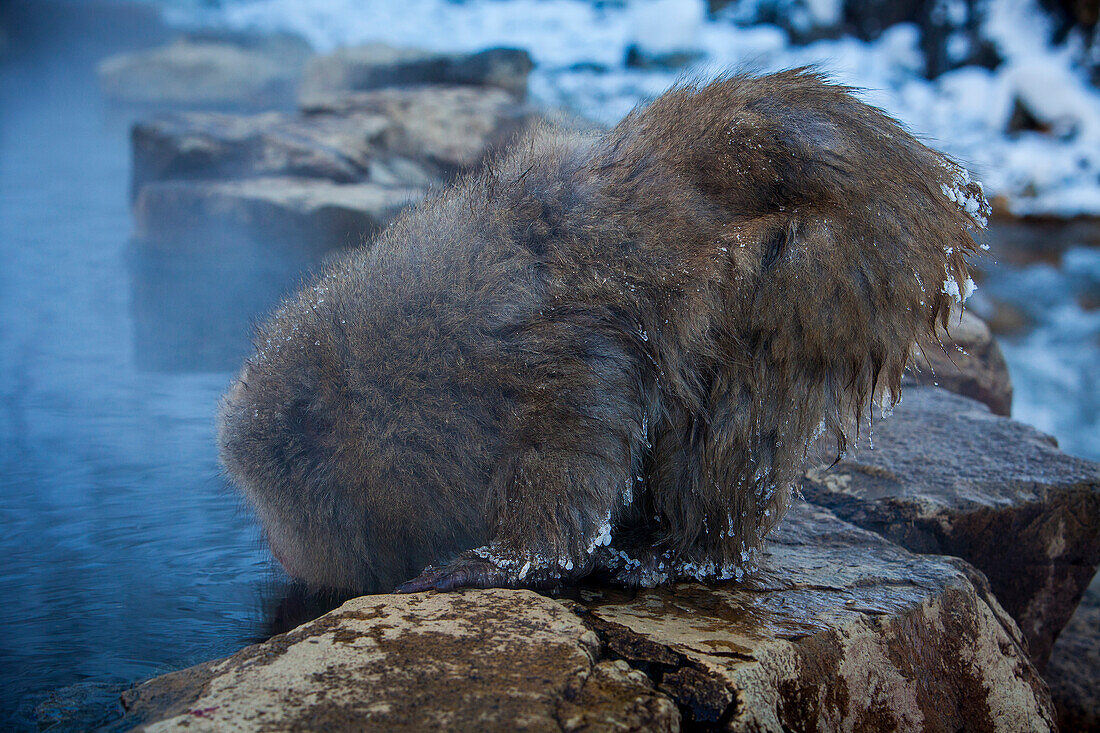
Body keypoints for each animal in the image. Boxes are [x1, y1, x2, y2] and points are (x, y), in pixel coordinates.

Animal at [216, 68, 990, 594]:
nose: (276, 548)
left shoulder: (556, 368)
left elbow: (568, 486)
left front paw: (501, 564)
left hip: (837, 269)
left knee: (735, 411)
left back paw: (687, 553)